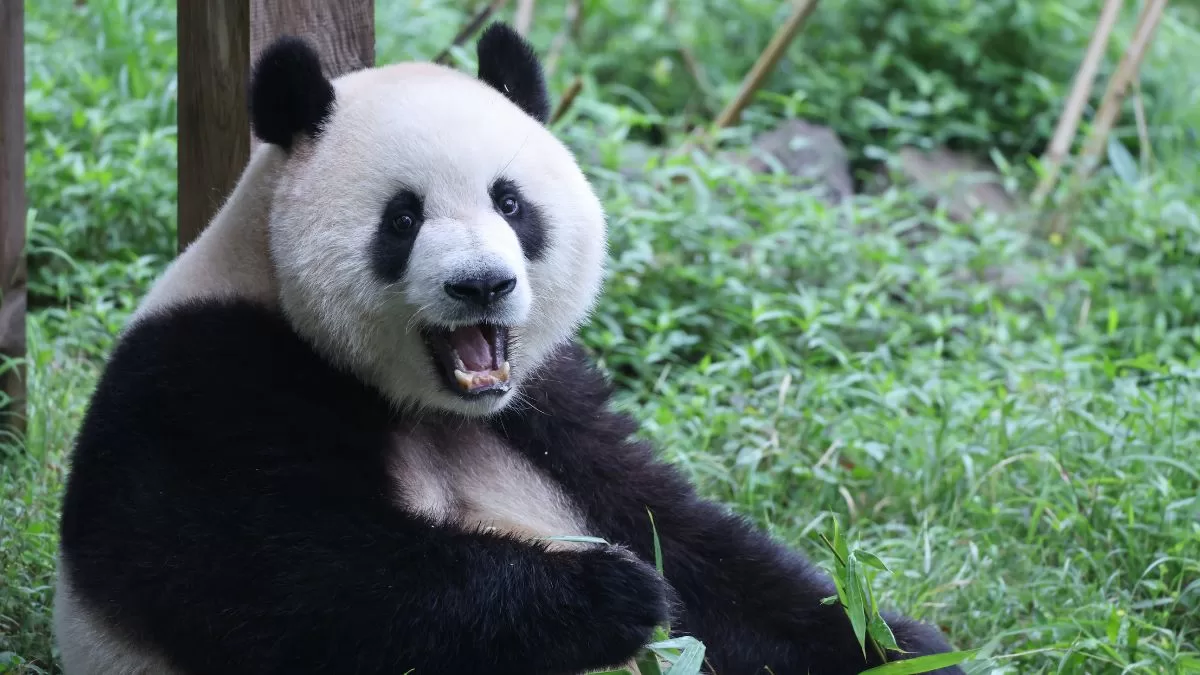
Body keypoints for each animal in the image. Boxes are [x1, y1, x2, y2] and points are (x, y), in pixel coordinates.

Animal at [54, 23, 964, 675]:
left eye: (510, 202)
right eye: (403, 217)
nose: (482, 285)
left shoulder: (546, 405)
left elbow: (689, 541)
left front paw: (897, 643)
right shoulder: (207, 380)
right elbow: (290, 584)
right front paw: (610, 594)